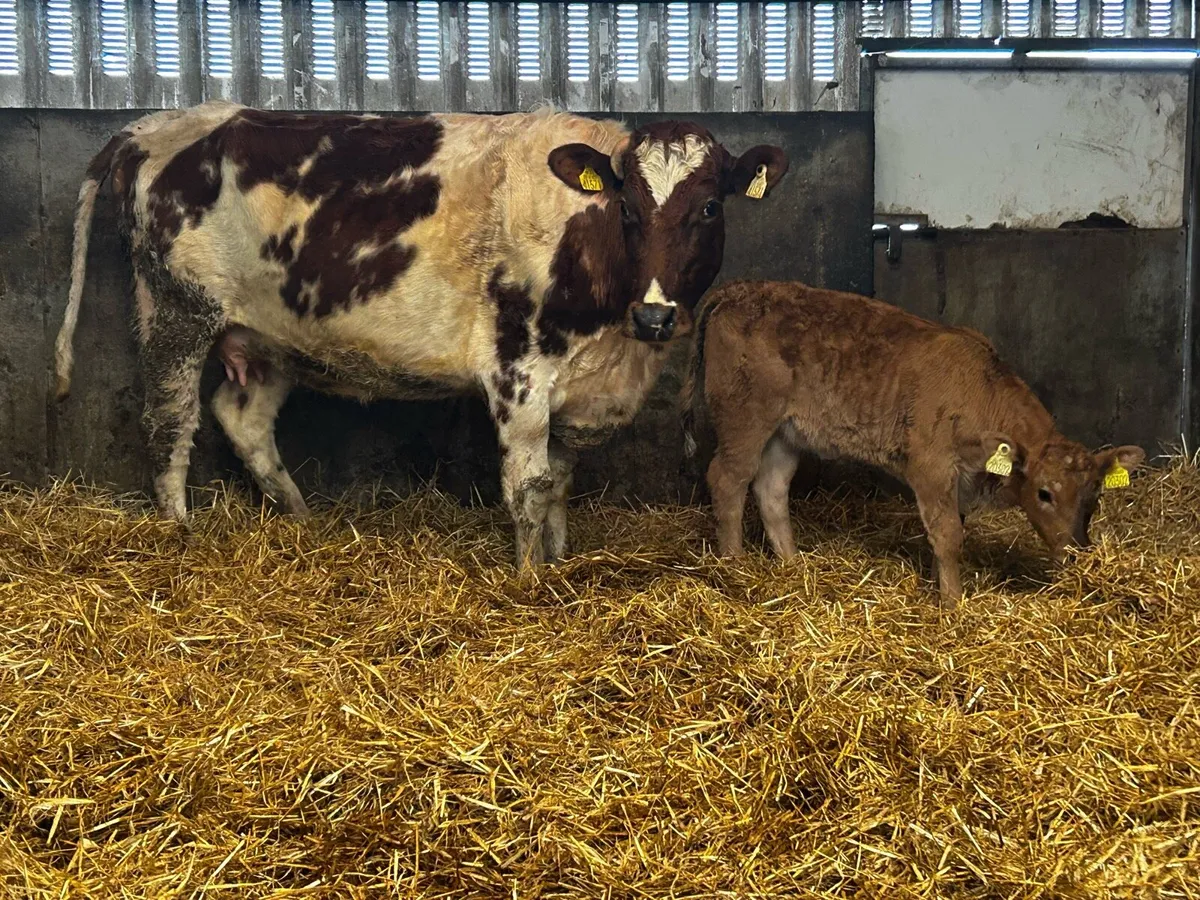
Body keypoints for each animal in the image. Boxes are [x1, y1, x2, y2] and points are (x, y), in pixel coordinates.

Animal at [53, 102, 788, 569]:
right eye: (629, 209)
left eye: (710, 206)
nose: (655, 316)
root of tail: (156, 125)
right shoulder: (519, 371)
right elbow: (528, 487)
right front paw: (530, 579)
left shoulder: (577, 387)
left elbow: (559, 484)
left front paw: (559, 559)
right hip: (178, 309)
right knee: (170, 424)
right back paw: (179, 531)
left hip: (268, 336)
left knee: (243, 420)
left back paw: (299, 519)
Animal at [681, 280, 1145, 606]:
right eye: (1044, 493)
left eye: (1095, 495)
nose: (1078, 556)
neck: (978, 390)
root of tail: (739, 289)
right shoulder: (930, 466)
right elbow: (948, 535)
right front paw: (953, 603)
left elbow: (948, 532)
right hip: (745, 420)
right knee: (728, 480)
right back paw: (734, 566)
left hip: (786, 432)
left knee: (771, 488)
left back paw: (793, 563)